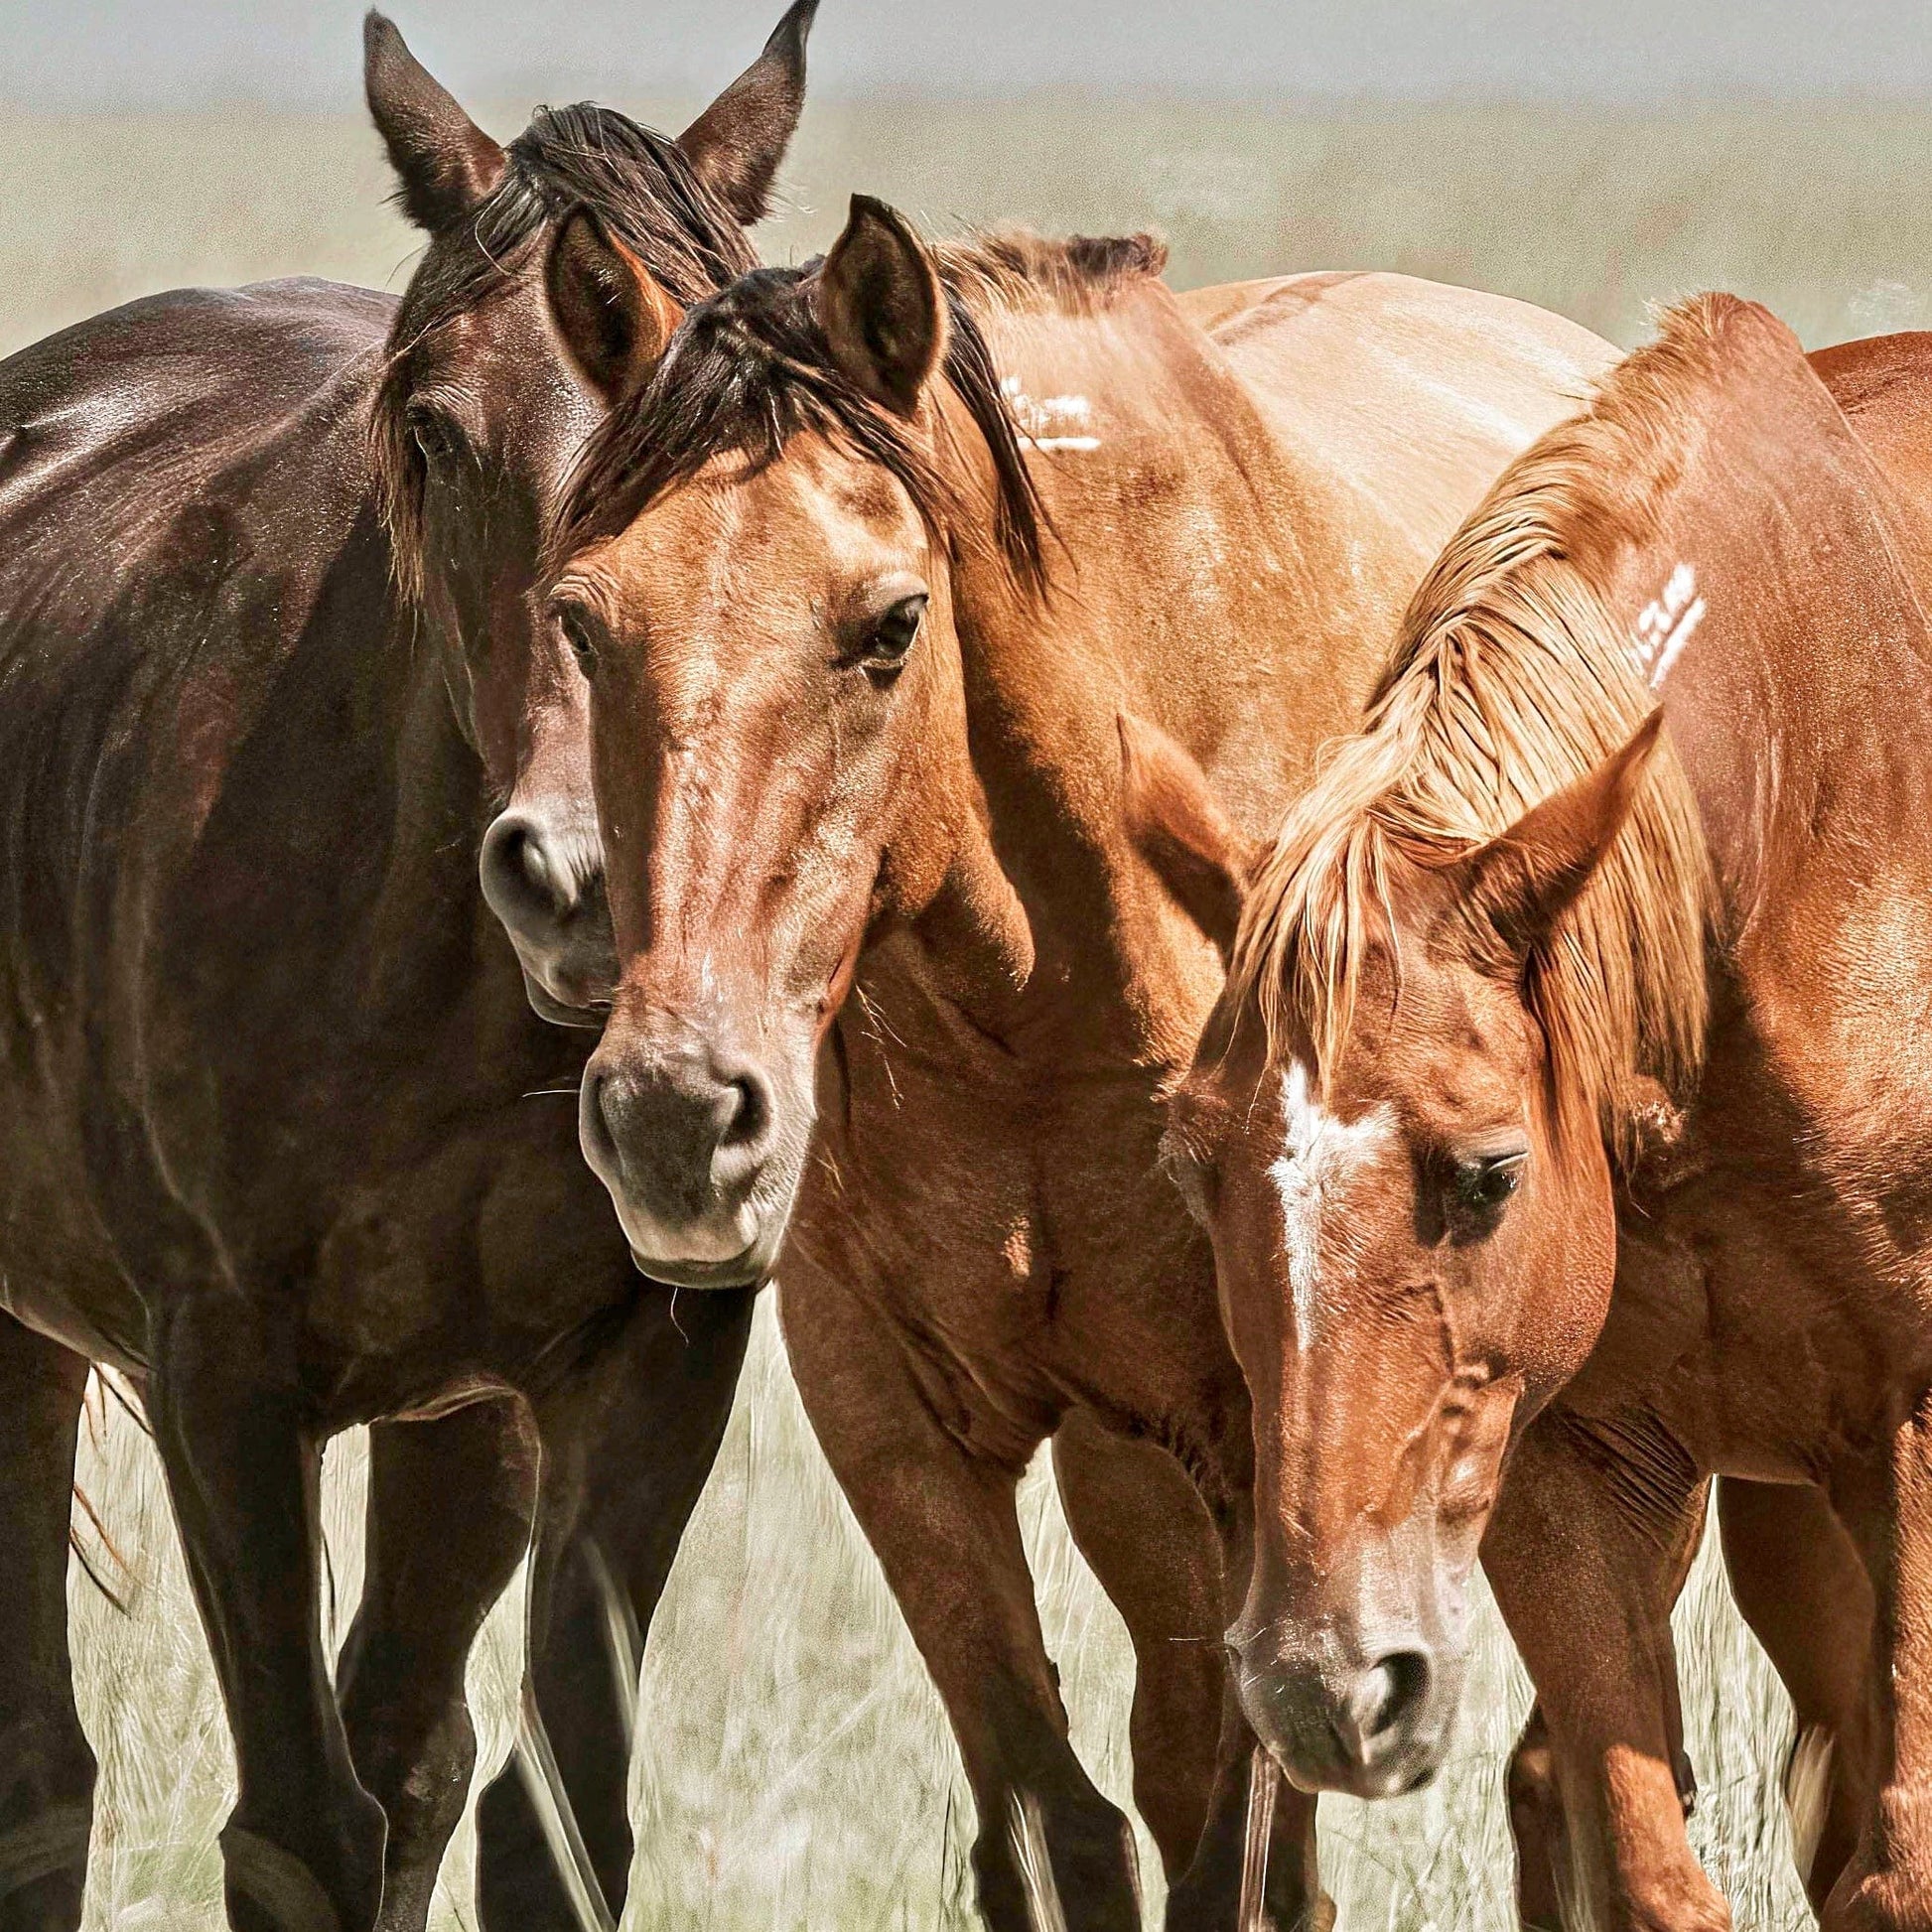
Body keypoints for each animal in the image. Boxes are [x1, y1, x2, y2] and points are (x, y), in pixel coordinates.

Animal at [0, 9, 816, 1929]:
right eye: (434, 432)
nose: (589, 879)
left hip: (457, 1425)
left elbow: (547, 1826)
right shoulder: (222, 1378)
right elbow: (296, 1833)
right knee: (45, 1776)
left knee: (414, 1752)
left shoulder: (643, 1364)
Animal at [531, 192, 1613, 1926]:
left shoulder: (1256, 1444)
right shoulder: (899, 1421)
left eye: (890, 623)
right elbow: (1055, 1829)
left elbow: (1235, 1859)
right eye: (580, 616)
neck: (1031, 1008)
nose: (675, 1118)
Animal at [1137, 298, 1932, 1929]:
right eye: (1191, 1171)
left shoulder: (1914, 1431)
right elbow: (1646, 1868)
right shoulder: (1570, 1464)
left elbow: (1908, 1851)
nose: (1324, 1684)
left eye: (1489, 1170)